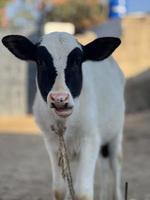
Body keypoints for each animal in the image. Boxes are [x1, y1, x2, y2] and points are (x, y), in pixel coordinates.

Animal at [1, 31, 125, 200]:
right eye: (41, 62)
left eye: (77, 61)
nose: (60, 99)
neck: (65, 122)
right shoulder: (51, 142)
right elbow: (59, 190)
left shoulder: (90, 138)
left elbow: (83, 192)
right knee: (103, 165)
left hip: (116, 131)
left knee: (115, 162)